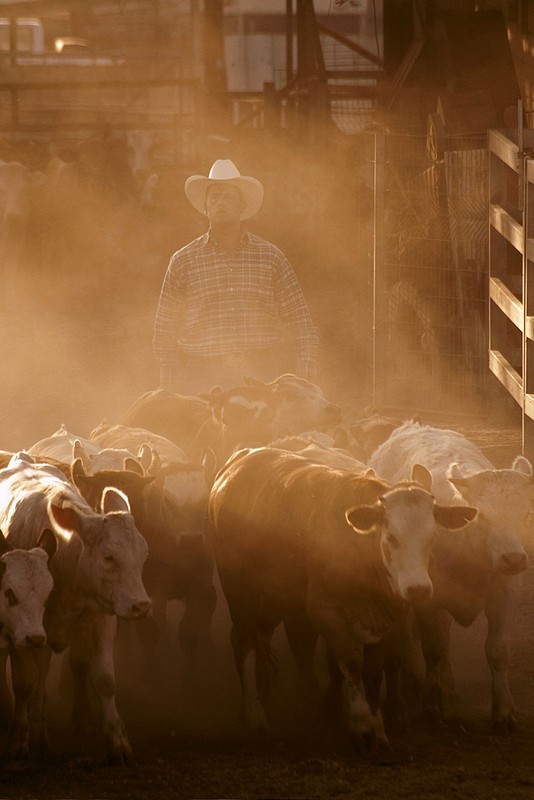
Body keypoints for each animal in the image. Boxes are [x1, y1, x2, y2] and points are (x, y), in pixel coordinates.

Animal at [0, 450, 152, 764]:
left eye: (143, 555)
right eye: (108, 557)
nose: (141, 606)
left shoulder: (103, 618)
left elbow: (105, 679)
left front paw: (118, 743)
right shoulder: (23, 627)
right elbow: (25, 682)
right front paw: (19, 740)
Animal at [208, 446, 478, 748]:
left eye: (432, 538)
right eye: (391, 537)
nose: (417, 589)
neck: (359, 549)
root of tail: (242, 457)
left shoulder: (387, 617)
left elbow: (375, 670)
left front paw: (379, 727)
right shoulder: (324, 612)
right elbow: (350, 660)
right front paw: (361, 722)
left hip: (274, 596)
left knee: (263, 638)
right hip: (239, 589)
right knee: (245, 641)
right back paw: (255, 715)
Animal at [368, 422, 534, 736]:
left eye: (527, 514)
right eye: (483, 516)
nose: (513, 559)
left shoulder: (506, 591)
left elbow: (497, 651)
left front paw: (503, 711)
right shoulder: (426, 596)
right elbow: (434, 648)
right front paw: (432, 706)